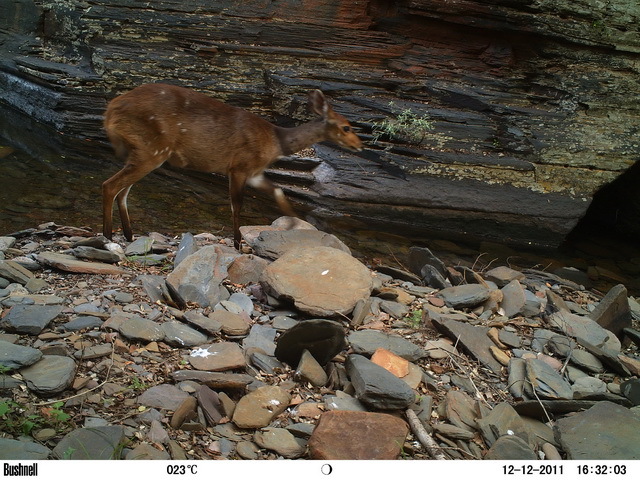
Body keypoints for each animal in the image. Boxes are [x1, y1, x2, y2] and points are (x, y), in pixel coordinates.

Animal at [100, 82, 360, 248]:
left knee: (123, 191)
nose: (360, 145)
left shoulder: (255, 172)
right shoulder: (239, 166)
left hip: (143, 152)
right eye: (346, 126)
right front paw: (238, 244)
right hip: (151, 150)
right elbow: (236, 205)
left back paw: (129, 235)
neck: (276, 141)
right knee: (110, 185)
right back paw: (108, 235)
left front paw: (294, 223)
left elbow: (277, 191)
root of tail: (110, 110)